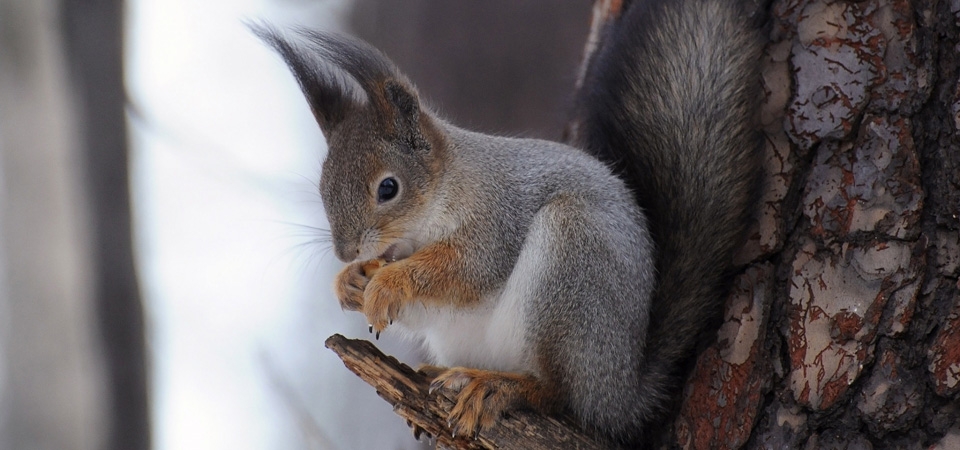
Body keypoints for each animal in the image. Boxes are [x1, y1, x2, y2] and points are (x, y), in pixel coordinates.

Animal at [251, 0, 760, 444]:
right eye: (322, 187)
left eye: (388, 188)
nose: (346, 251)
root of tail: (621, 394)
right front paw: (351, 282)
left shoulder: (497, 218)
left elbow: (468, 269)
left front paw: (387, 283)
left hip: (572, 269)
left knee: (560, 395)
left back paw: (499, 387)